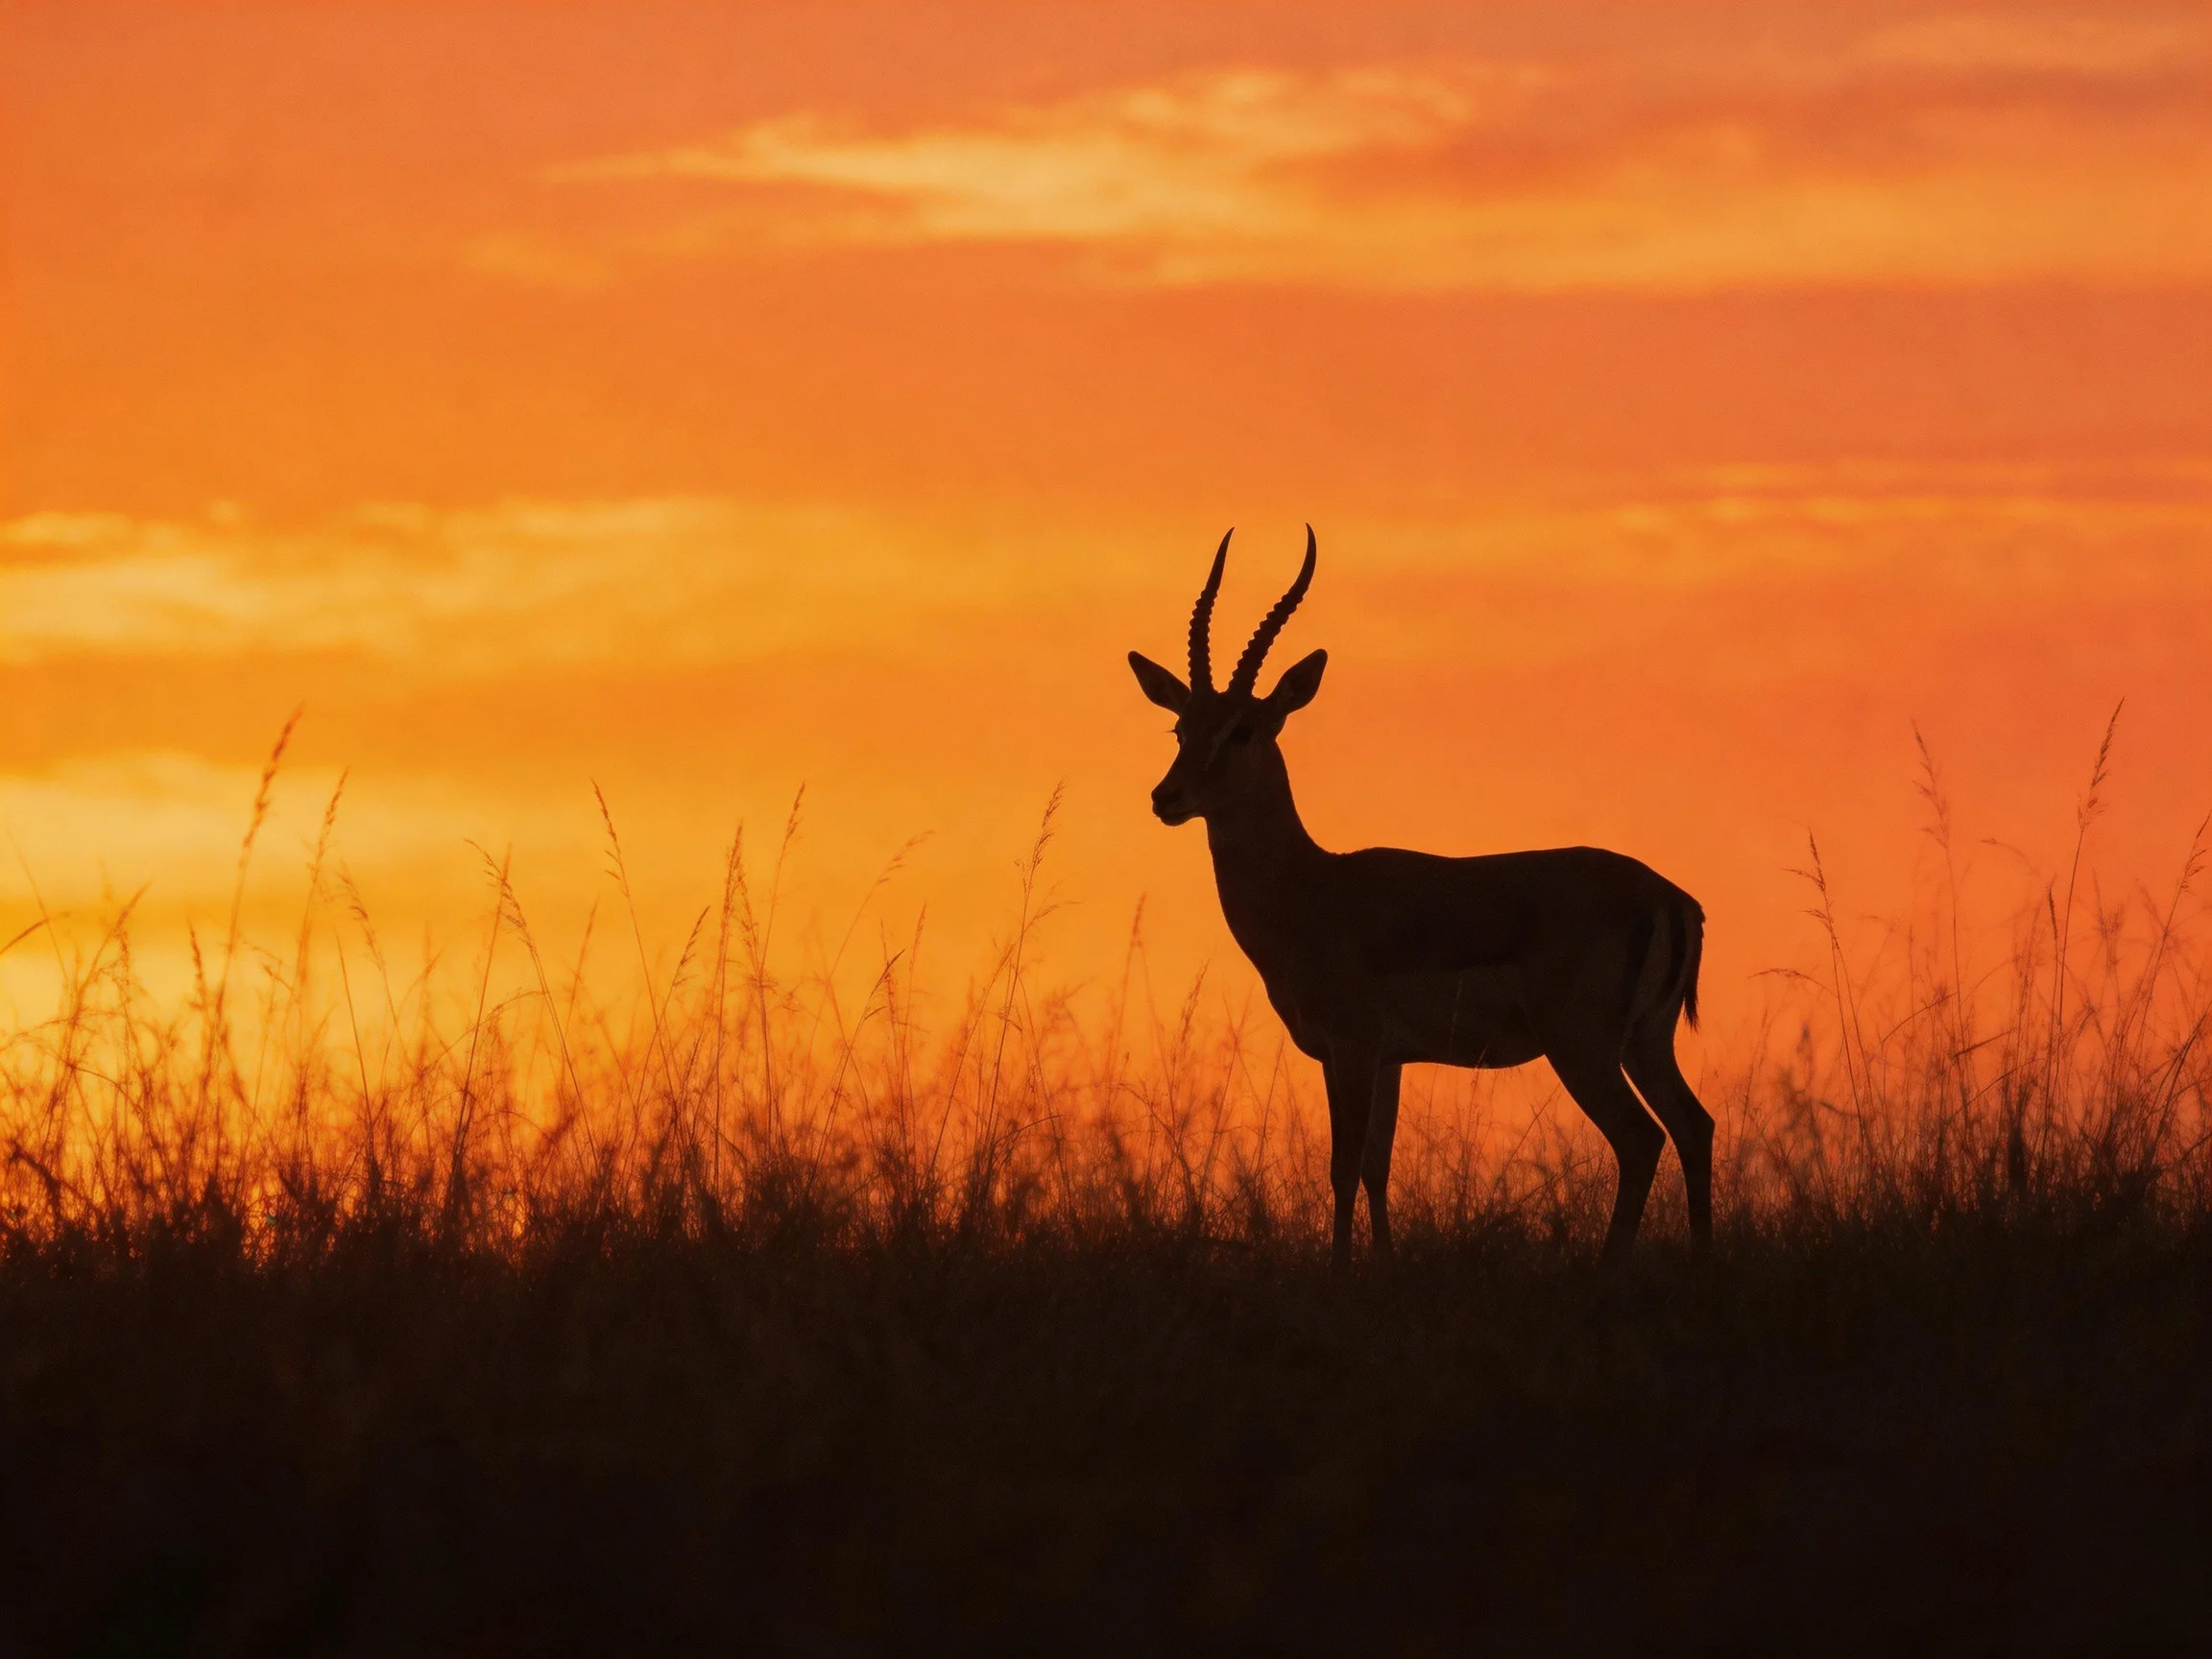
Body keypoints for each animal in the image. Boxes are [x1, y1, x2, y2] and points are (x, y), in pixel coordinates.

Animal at [1128, 528, 1712, 1265]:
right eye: (1181, 727)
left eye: (1243, 728)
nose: (1167, 797)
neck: (1311, 891)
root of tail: (1672, 900)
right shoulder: (1388, 1058)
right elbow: (1377, 1166)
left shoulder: (1352, 1045)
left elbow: (1344, 1165)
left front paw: (1343, 1270)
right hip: (1644, 1041)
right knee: (1694, 1126)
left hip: (1583, 1046)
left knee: (1641, 1139)